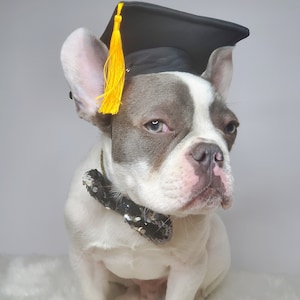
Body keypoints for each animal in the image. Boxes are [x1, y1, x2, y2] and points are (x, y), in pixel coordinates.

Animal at [61, 22, 241, 298]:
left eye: (231, 127)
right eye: (156, 125)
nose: (211, 152)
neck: (134, 209)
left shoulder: (188, 270)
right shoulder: (85, 261)